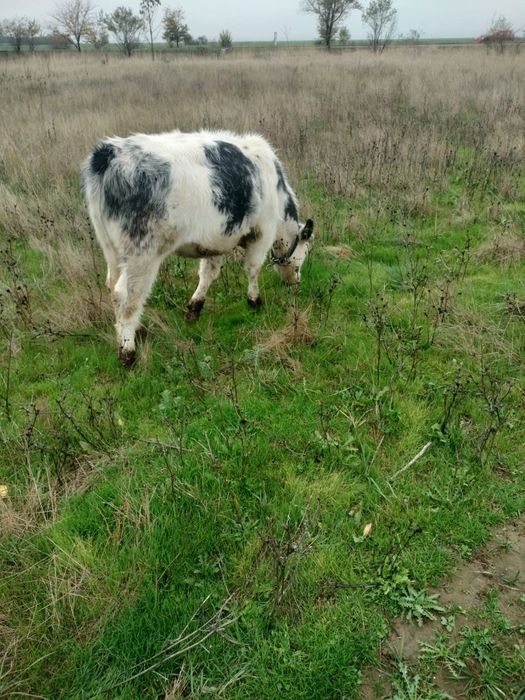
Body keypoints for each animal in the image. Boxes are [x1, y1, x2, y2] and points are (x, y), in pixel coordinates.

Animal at [81, 129, 314, 365]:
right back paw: (127, 351)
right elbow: (252, 269)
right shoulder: (262, 233)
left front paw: (195, 308)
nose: (297, 283)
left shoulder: (216, 240)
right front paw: (254, 301)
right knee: (127, 295)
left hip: (112, 250)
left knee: (112, 286)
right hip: (142, 254)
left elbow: (208, 274)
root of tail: (109, 153)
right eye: (301, 259)